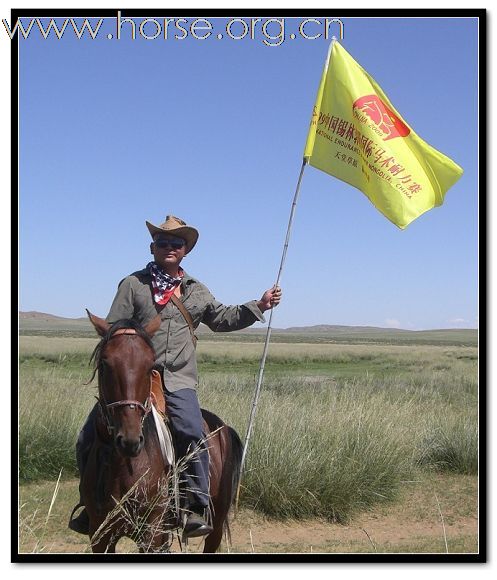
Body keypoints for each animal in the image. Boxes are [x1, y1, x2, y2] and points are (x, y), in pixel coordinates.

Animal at [82, 312, 242, 552]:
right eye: (105, 363)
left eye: (150, 366)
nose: (129, 441)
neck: (123, 467)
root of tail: (223, 428)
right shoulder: (100, 535)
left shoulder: (152, 534)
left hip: (216, 521)